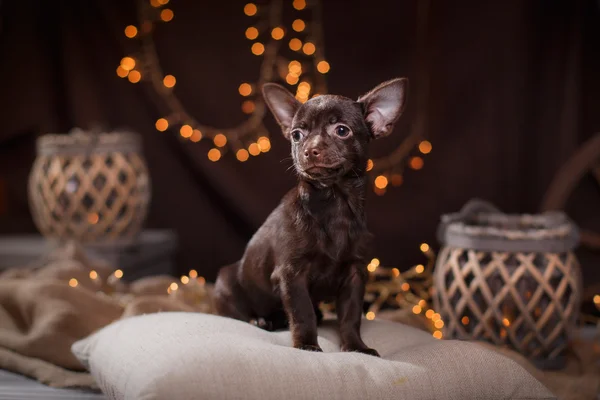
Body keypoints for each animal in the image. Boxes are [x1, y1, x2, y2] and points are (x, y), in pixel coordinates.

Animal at [214, 78, 408, 356]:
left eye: (342, 130)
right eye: (297, 135)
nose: (310, 150)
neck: (334, 202)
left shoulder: (355, 275)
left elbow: (351, 316)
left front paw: (356, 347)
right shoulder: (292, 274)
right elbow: (302, 313)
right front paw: (307, 345)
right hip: (227, 283)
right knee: (240, 313)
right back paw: (260, 320)